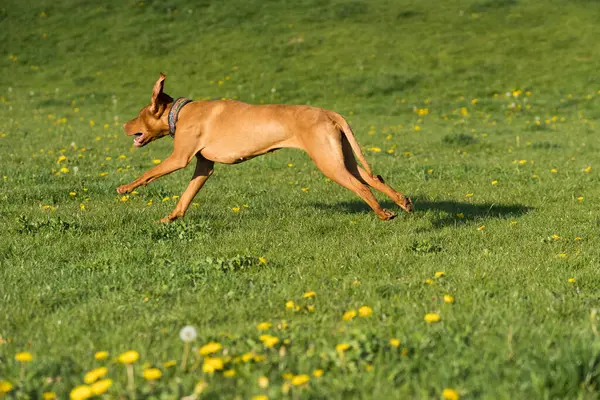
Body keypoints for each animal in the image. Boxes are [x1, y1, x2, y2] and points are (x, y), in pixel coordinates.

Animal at [119, 72, 414, 222]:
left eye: (138, 114)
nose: (123, 125)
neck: (180, 113)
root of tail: (329, 112)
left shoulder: (180, 157)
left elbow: (148, 174)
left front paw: (125, 188)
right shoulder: (204, 166)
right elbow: (186, 196)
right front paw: (170, 218)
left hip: (329, 163)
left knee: (362, 187)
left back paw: (383, 213)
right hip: (342, 157)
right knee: (374, 178)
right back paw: (403, 202)